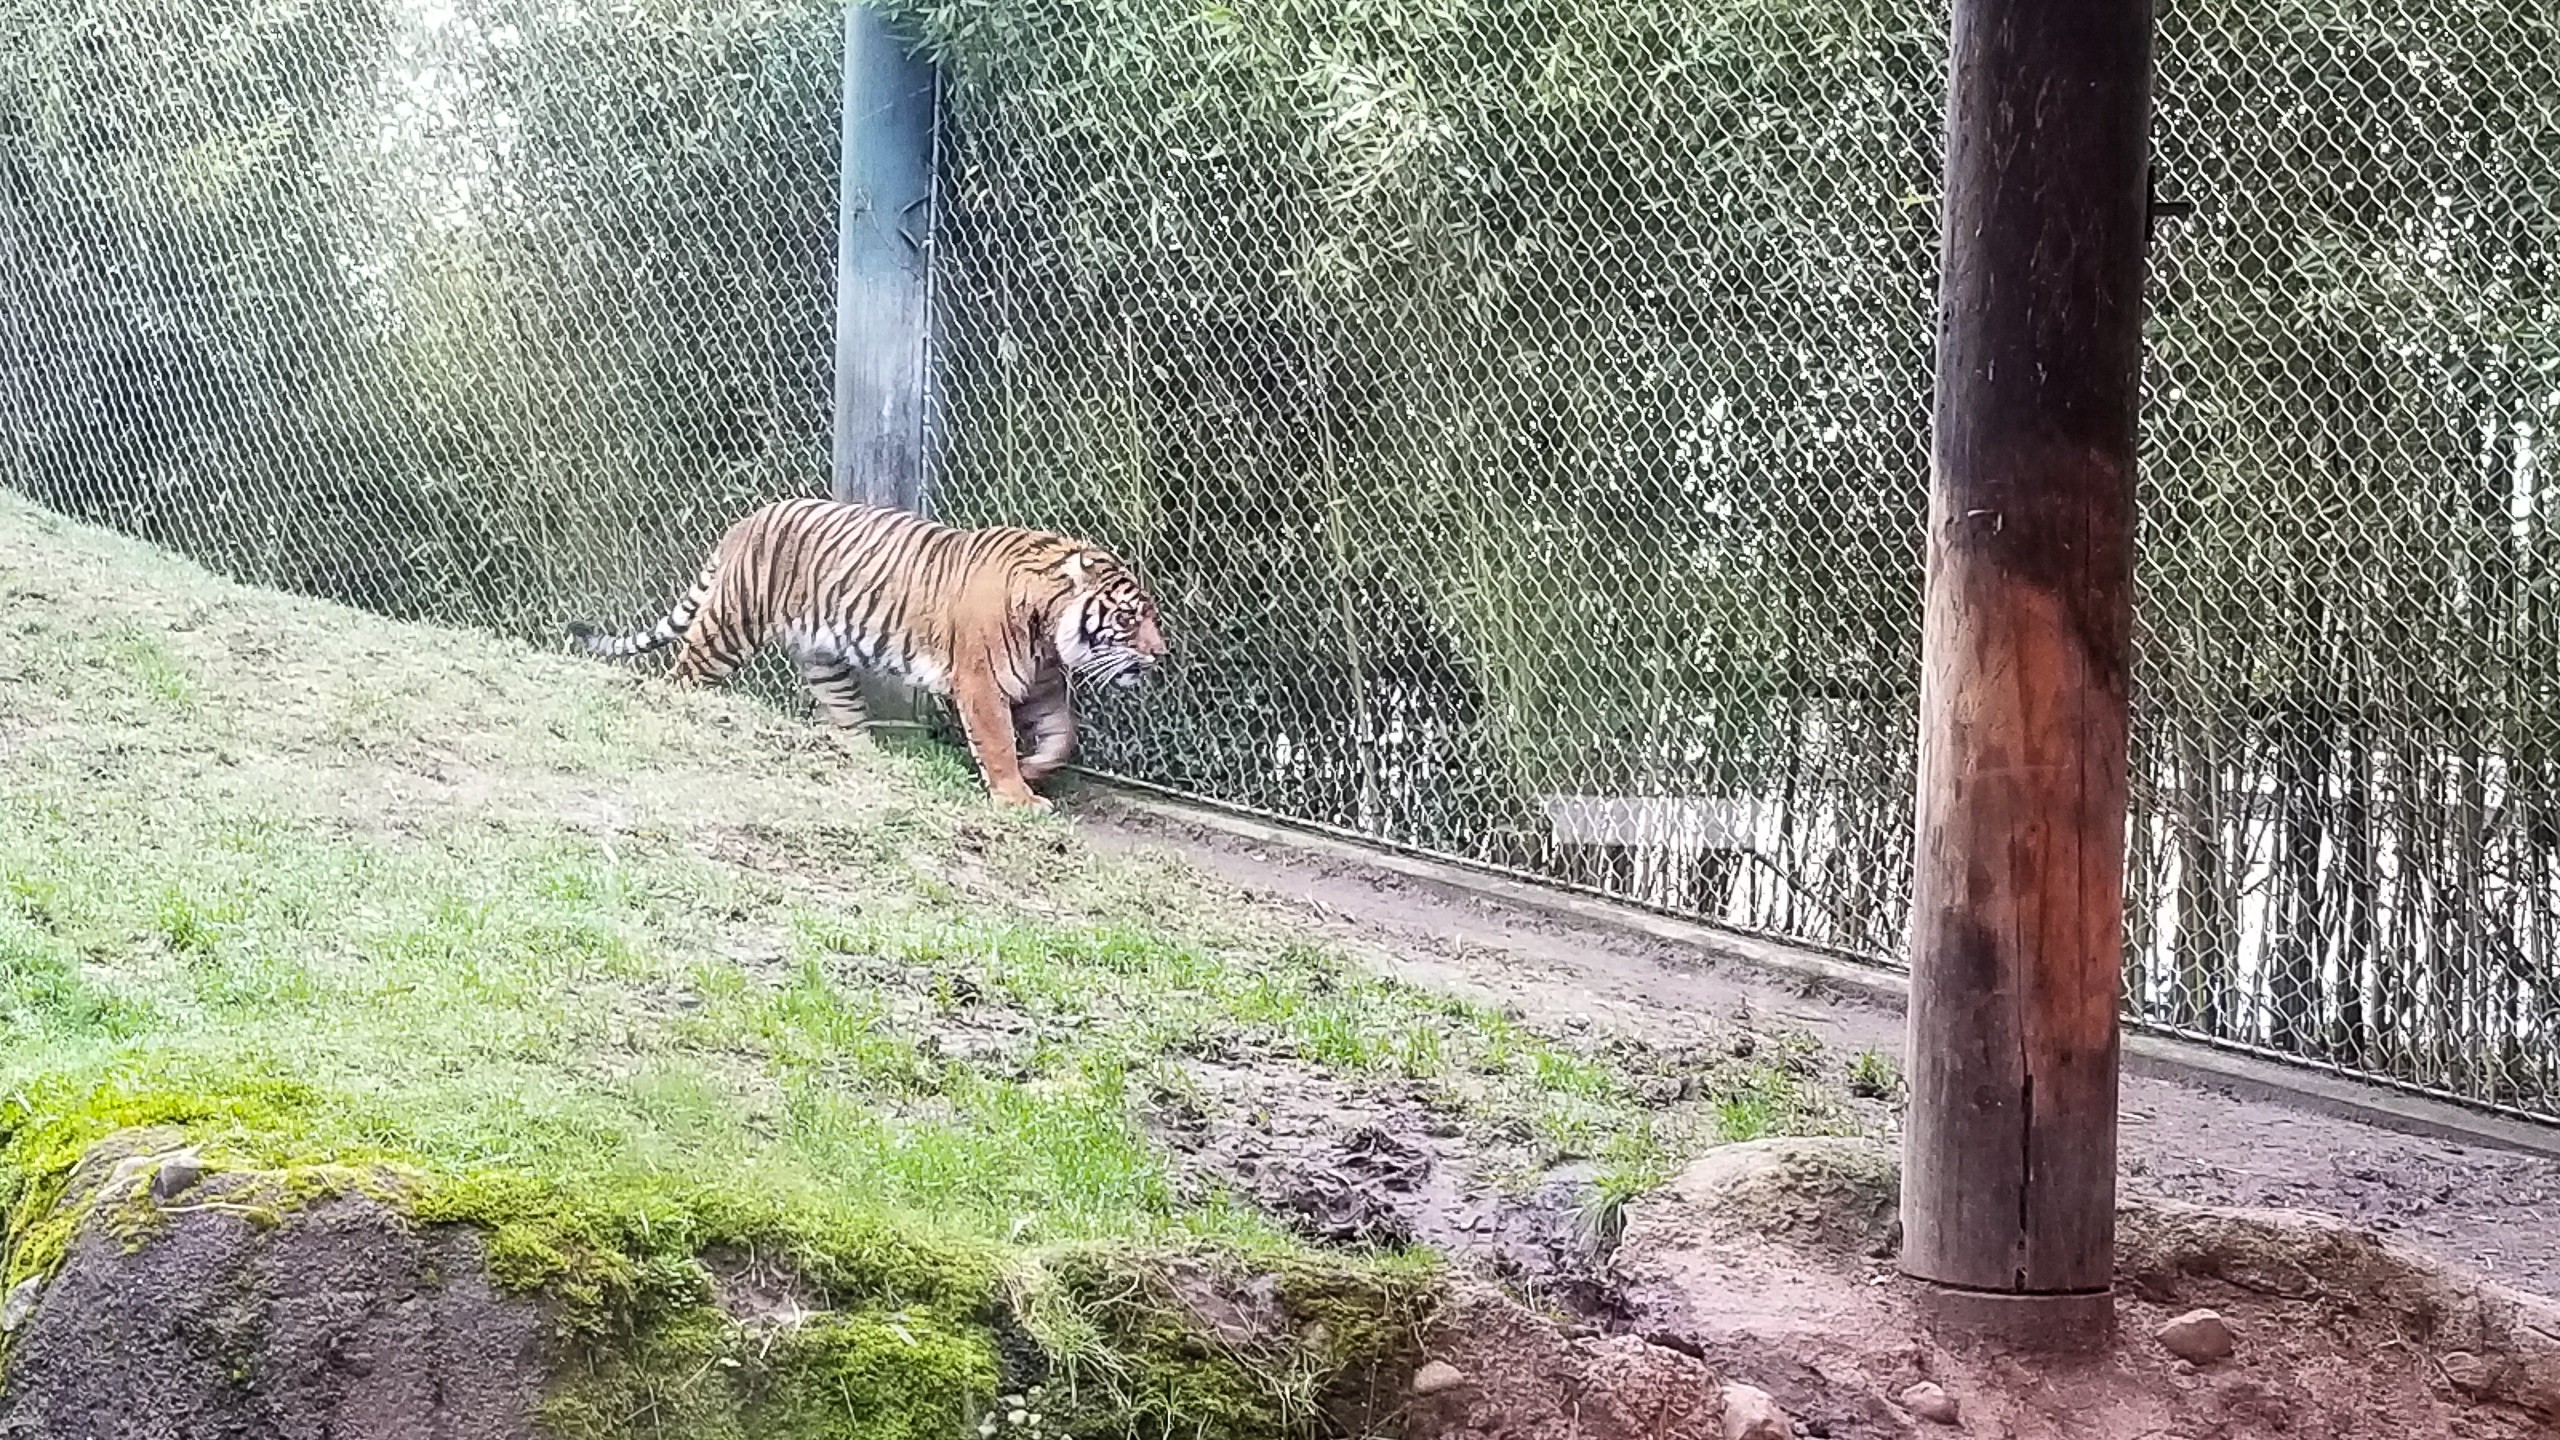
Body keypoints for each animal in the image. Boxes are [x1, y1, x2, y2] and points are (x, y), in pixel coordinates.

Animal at [567, 497, 1165, 810]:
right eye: (1129, 618)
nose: (1161, 654)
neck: (1046, 631)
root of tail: (747, 520)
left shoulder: (1039, 684)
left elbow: (1064, 735)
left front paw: (1036, 768)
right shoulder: (981, 684)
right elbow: (995, 742)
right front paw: (1017, 797)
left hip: (824, 662)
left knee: (844, 717)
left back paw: (864, 757)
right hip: (728, 627)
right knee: (684, 673)